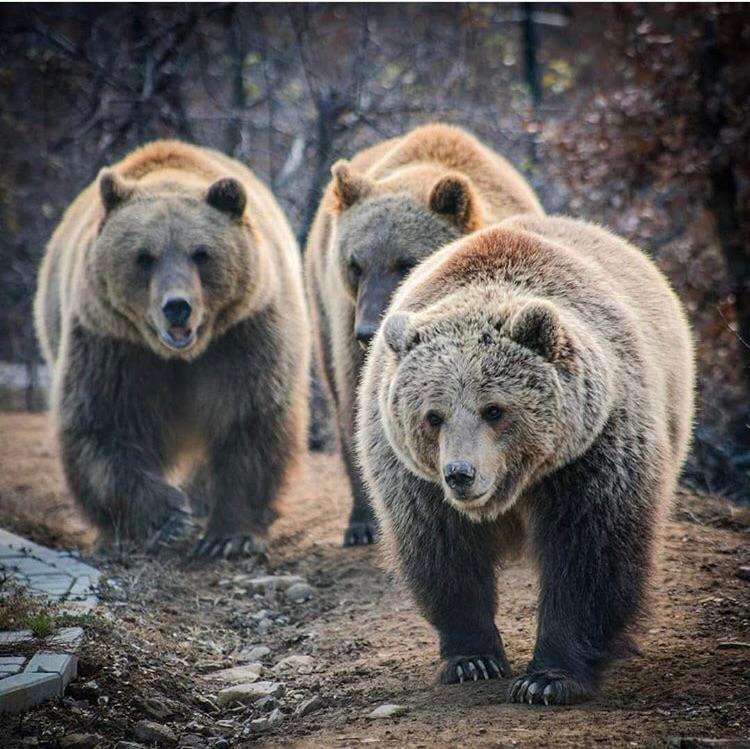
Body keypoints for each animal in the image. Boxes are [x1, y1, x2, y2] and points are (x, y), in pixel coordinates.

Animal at [34, 141, 310, 557]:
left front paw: (229, 537)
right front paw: (168, 519)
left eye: (201, 253)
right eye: (144, 257)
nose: (177, 306)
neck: (181, 357)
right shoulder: (113, 343)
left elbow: (249, 418)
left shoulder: (243, 335)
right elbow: (103, 424)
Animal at [356, 214, 695, 704]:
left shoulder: (591, 454)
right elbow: (443, 554)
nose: (460, 474)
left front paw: (547, 679)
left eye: (493, 409)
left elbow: (589, 553)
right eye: (433, 415)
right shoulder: (414, 481)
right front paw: (472, 659)